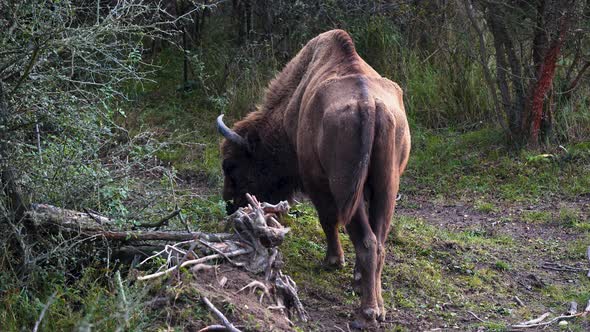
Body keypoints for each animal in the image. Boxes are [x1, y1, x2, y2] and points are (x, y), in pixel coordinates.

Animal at [216, 29, 412, 328]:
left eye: (231, 165)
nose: (229, 204)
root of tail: (368, 105)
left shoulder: (316, 183)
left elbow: (327, 220)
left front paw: (333, 261)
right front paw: (354, 276)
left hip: (345, 189)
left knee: (366, 241)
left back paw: (366, 313)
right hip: (386, 188)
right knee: (378, 242)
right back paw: (377, 306)